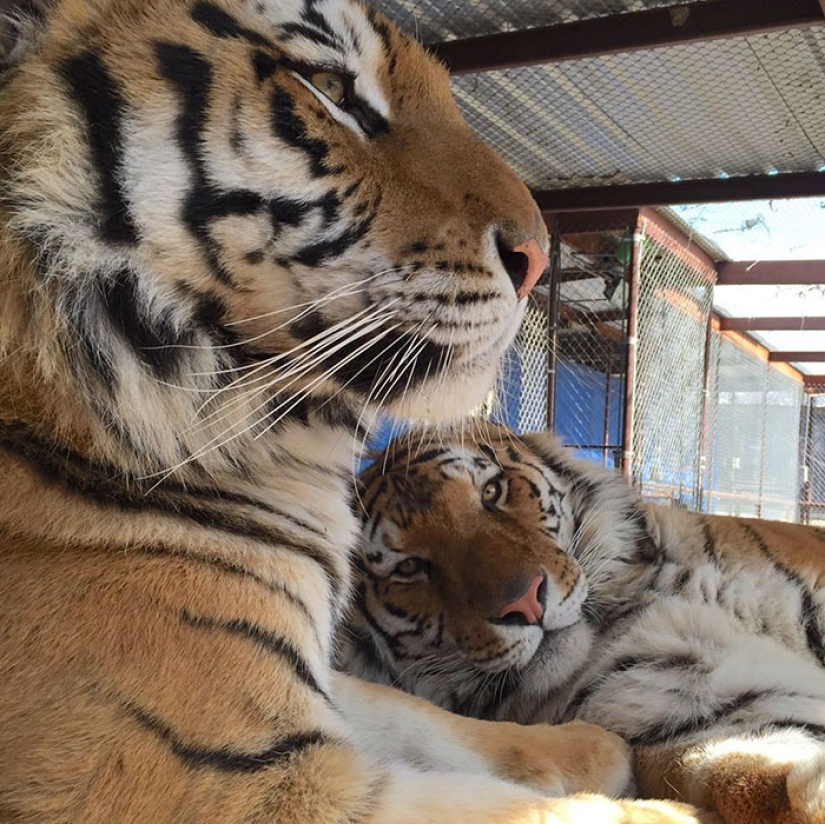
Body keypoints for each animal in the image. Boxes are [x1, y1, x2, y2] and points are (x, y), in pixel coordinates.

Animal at [344, 424, 824, 824]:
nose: (525, 602)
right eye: (408, 568)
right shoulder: (709, 715)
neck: (631, 601)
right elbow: (750, 778)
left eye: (493, 491)